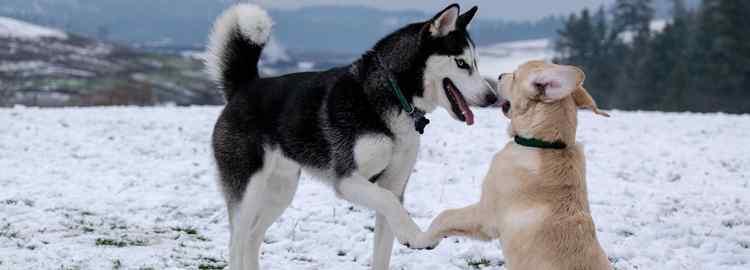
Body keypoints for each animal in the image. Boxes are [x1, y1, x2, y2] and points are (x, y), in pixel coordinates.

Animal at [414, 61, 612, 270]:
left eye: (515, 76)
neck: (544, 143)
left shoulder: (486, 215)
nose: (500, 75)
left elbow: (445, 215)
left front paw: (422, 240)